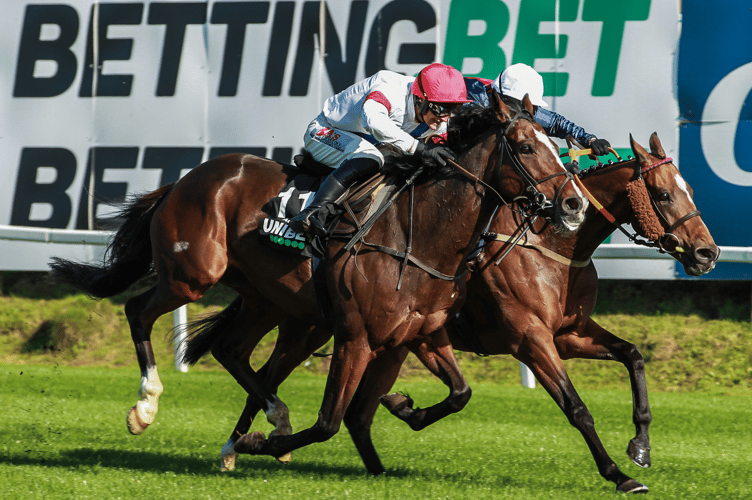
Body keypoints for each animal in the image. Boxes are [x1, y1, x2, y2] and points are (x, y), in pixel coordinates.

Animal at [48, 91, 588, 454]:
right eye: (525, 145)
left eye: (553, 143)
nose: (574, 203)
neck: (421, 232)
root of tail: (182, 181)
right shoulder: (356, 336)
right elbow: (329, 422)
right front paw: (259, 444)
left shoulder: (423, 332)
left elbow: (460, 393)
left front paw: (406, 407)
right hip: (193, 274)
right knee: (139, 311)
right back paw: (147, 407)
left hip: (267, 298)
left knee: (231, 349)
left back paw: (271, 415)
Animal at [203, 131, 720, 494]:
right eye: (665, 195)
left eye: (691, 189)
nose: (707, 253)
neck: (553, 245)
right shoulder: (530, 338)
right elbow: (576, 407)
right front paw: (618, 473)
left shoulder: (569, 333)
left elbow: (633, 354)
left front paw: (641, 446)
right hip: (313, 325)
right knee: (264, 373)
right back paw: (245, 444)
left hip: (338, 329)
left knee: (287, 384)